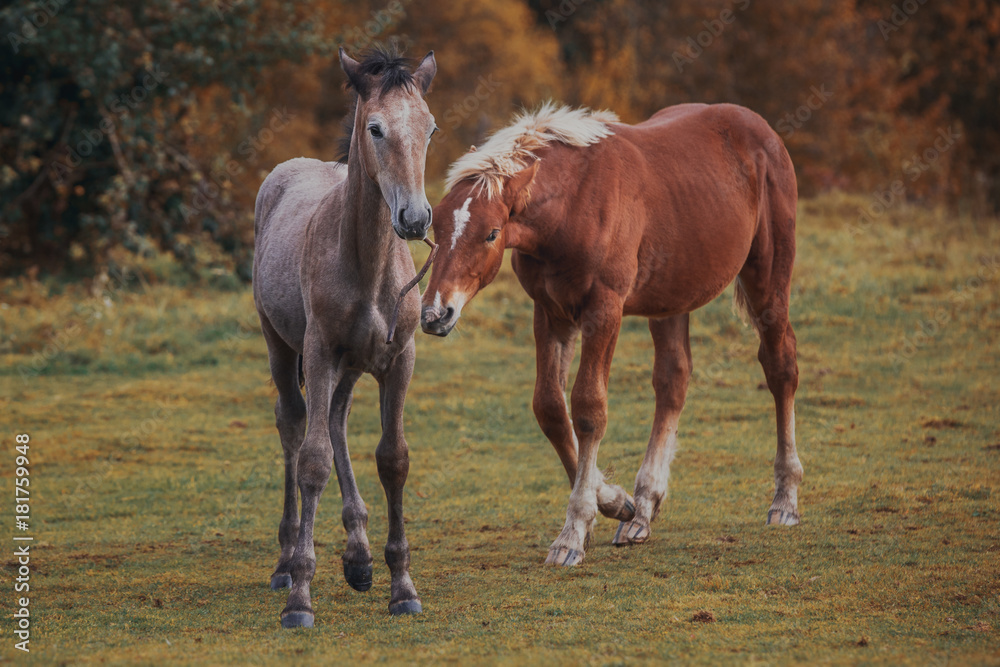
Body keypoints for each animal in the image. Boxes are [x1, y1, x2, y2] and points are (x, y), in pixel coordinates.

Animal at [418, 102, 800, 568]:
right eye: (435, 229)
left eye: (491, 232)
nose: (435, 314)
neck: (573, 205)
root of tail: (761, 130)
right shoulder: (550, 313)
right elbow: (550, 408)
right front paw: (617, 502)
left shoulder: (604, 309)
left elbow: (588, 408)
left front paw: (573, 533)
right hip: (671, 299)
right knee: (673, 381)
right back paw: (643, 511)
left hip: (768, 280)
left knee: (780, 366)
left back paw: (784, 500)